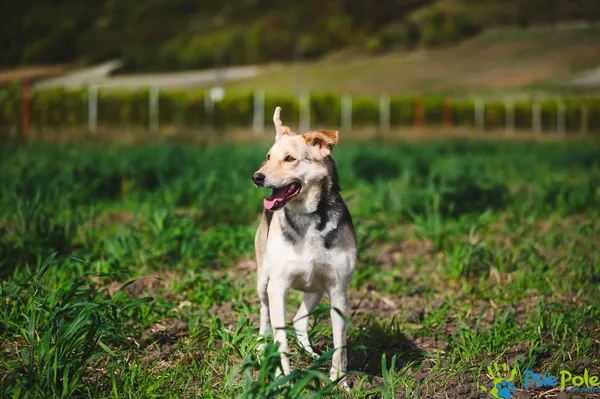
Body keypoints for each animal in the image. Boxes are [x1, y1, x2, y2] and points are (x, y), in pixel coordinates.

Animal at [252, 106, 356, 384]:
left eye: (289, 159)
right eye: (268, 157)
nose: (257, 177)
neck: (307, 217)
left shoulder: (338, 290)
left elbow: (340, 345)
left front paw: (339, 382)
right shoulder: (278, 286)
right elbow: (280, 338)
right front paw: (283, 378)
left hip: (316, 289)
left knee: (299, 320)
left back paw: (310, 354)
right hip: (263, 280)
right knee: (265, 313)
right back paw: (260, 345)